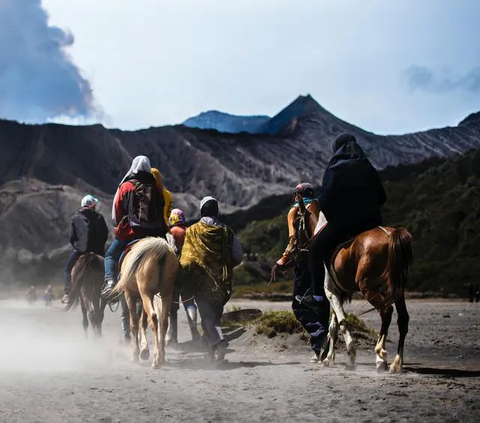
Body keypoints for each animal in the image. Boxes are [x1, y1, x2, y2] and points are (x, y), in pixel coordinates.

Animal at [111, 237, 179, 370]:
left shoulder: (130, 295)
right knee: (163, 321)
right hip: (165, 292)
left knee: (153, 317)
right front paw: (144, 349)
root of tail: (161, 249)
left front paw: (136, 353)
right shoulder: (146, 298)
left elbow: (134, 323)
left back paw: (156, 360)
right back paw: (161, 356)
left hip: (145, 293)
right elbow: (142, 321)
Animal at [316, 225, 414, 374]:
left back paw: (380, 351)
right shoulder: (337, 295)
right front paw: (328, 358)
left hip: (368, 288)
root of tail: (390, 234)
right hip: (396, 289)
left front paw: (350, 359)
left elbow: (341, 323)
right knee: (403, 319)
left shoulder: (331, 292)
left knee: (386, 312)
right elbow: (333, 326)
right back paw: (395, 363)